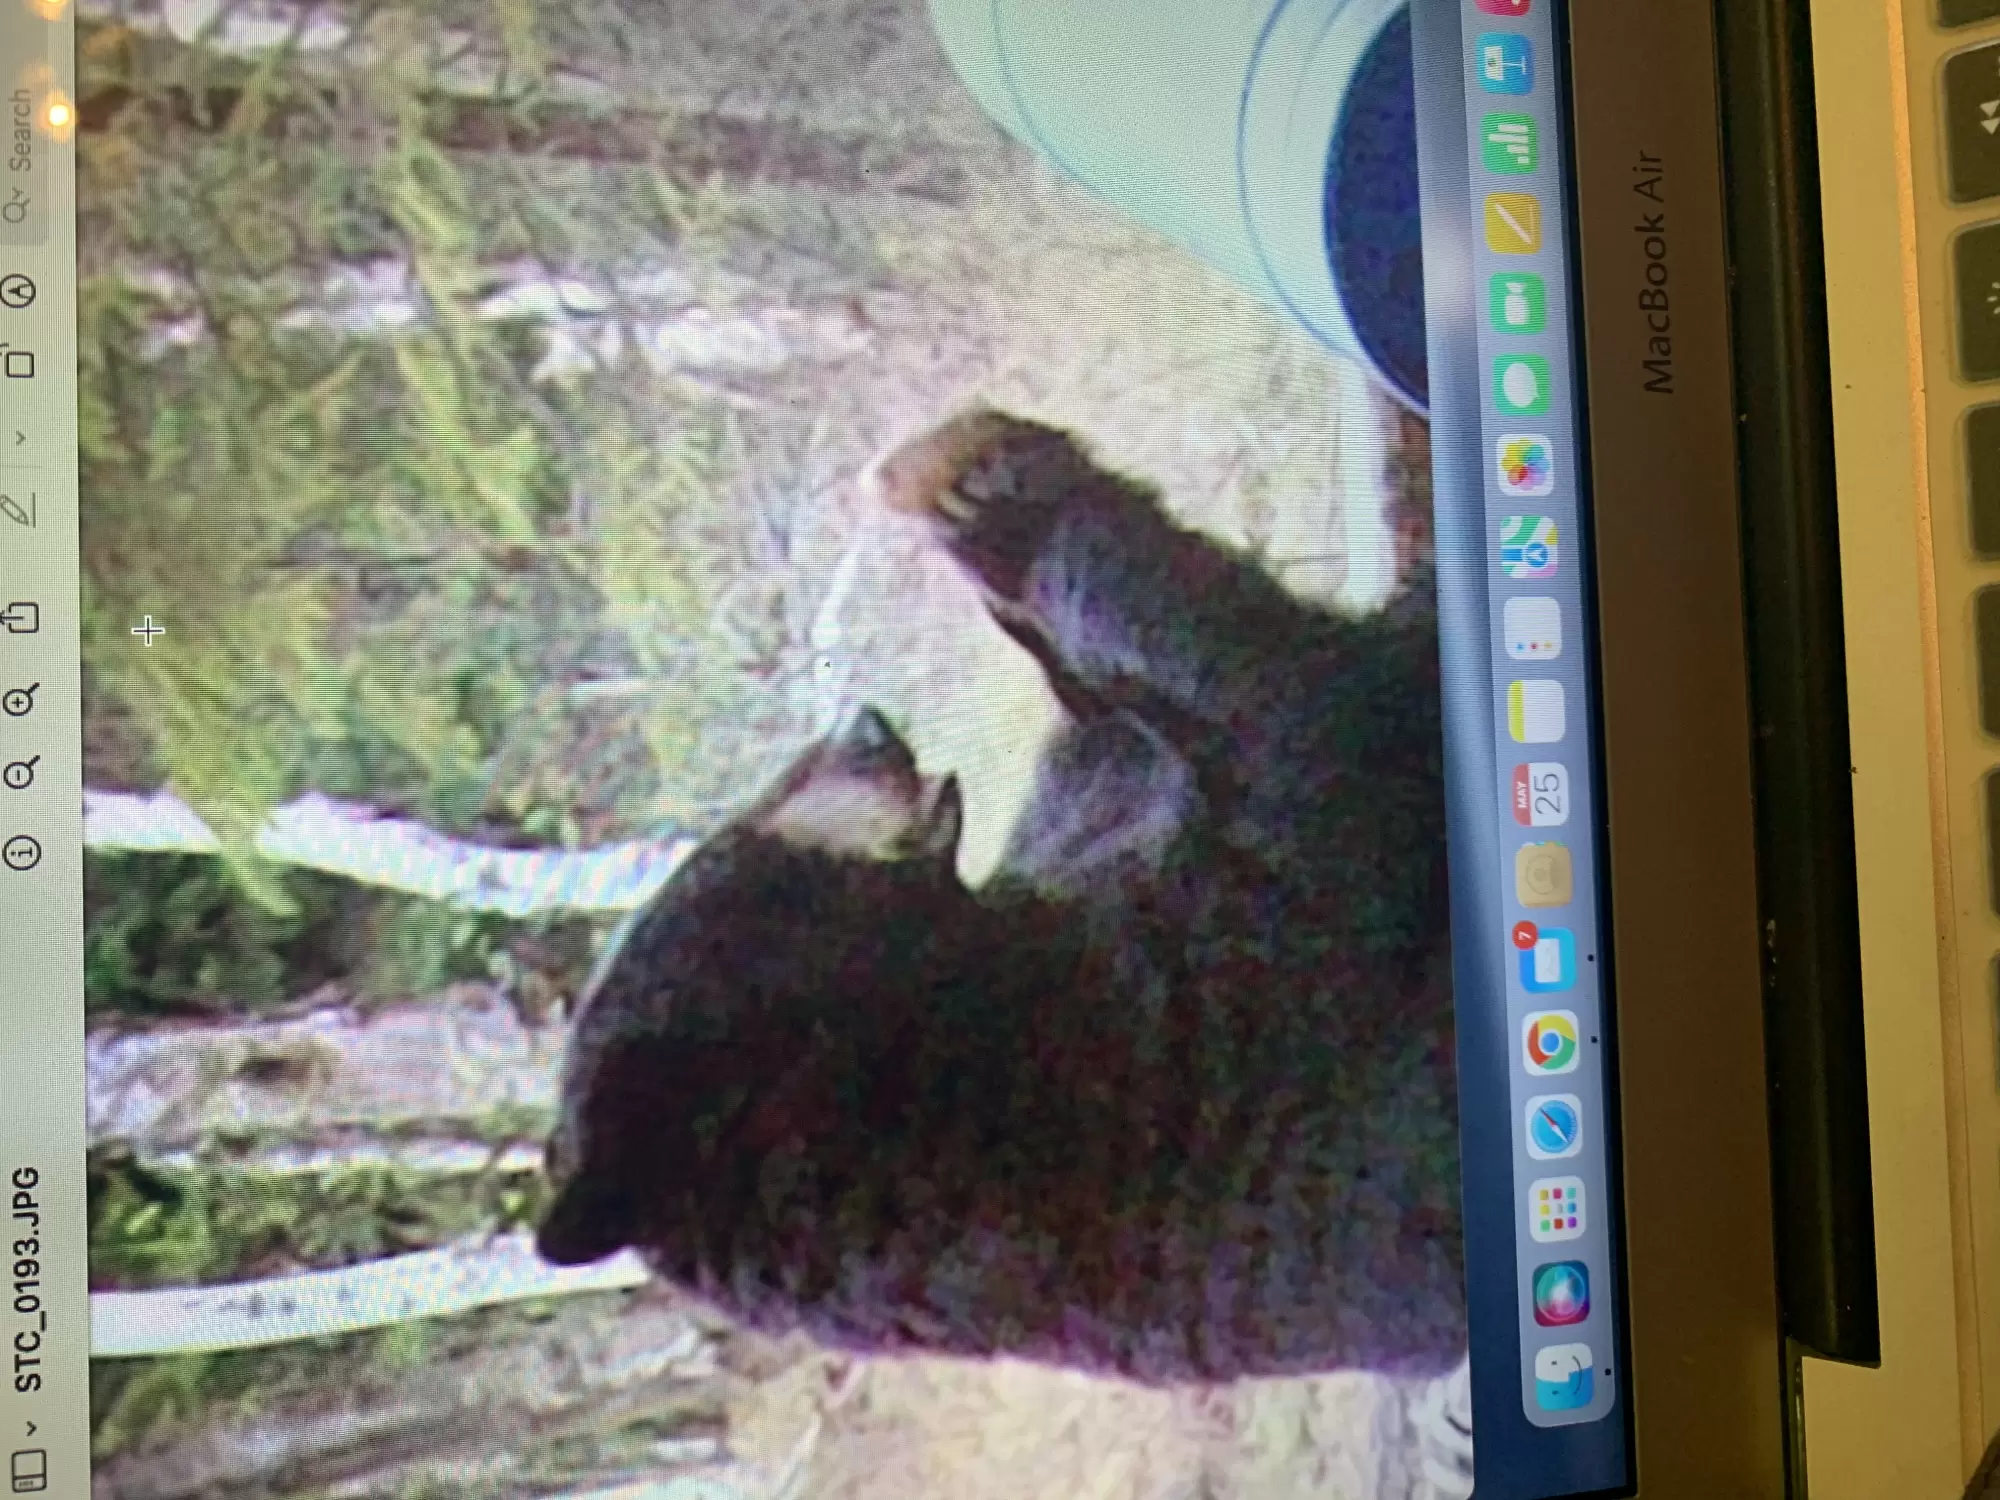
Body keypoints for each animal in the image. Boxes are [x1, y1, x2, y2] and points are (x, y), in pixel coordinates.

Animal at [536, 409, 1463, 1382]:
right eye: (728, 853)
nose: (862, 723)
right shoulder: (1212, 1006)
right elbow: (1286, 698)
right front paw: (977, 490)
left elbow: (1118, 729)